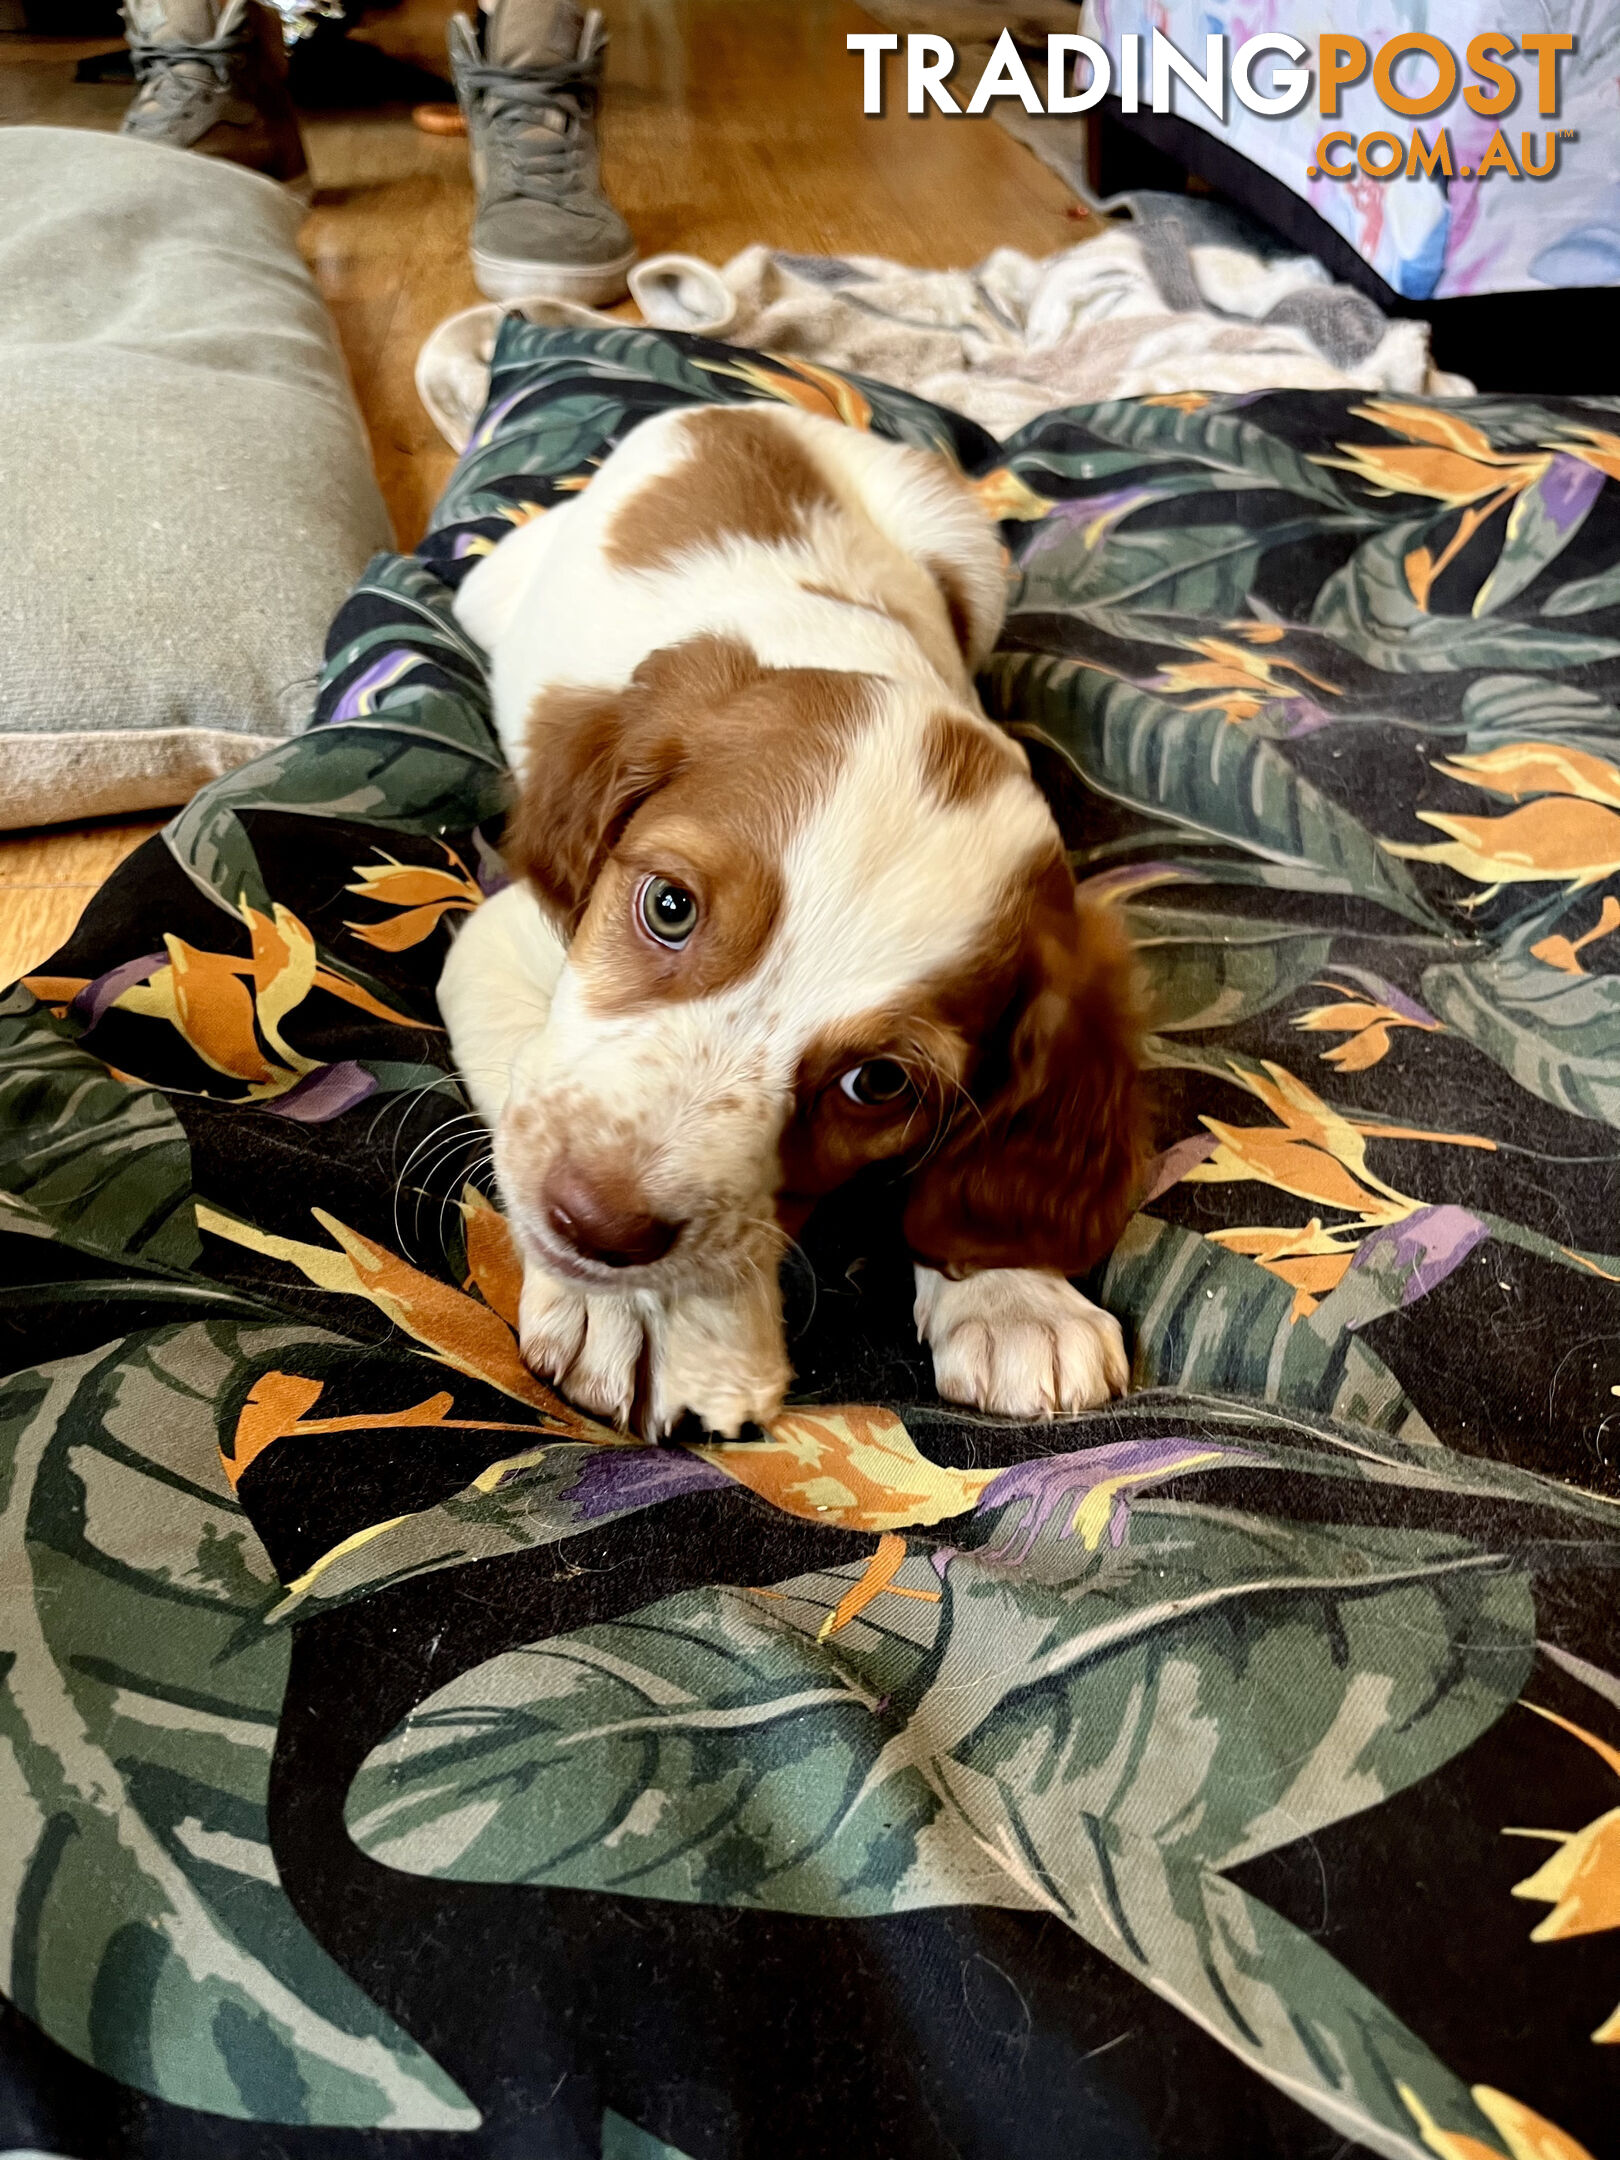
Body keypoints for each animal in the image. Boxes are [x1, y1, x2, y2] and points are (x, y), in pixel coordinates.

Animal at [434, 408, 1140, 1451]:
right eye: (669, 907)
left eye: (878, 1084)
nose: (597, 1228)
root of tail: (738, 406)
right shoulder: (502, 935)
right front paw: (641, 1315)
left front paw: (1016, 1296)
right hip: (494, 587)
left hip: (971, 555)